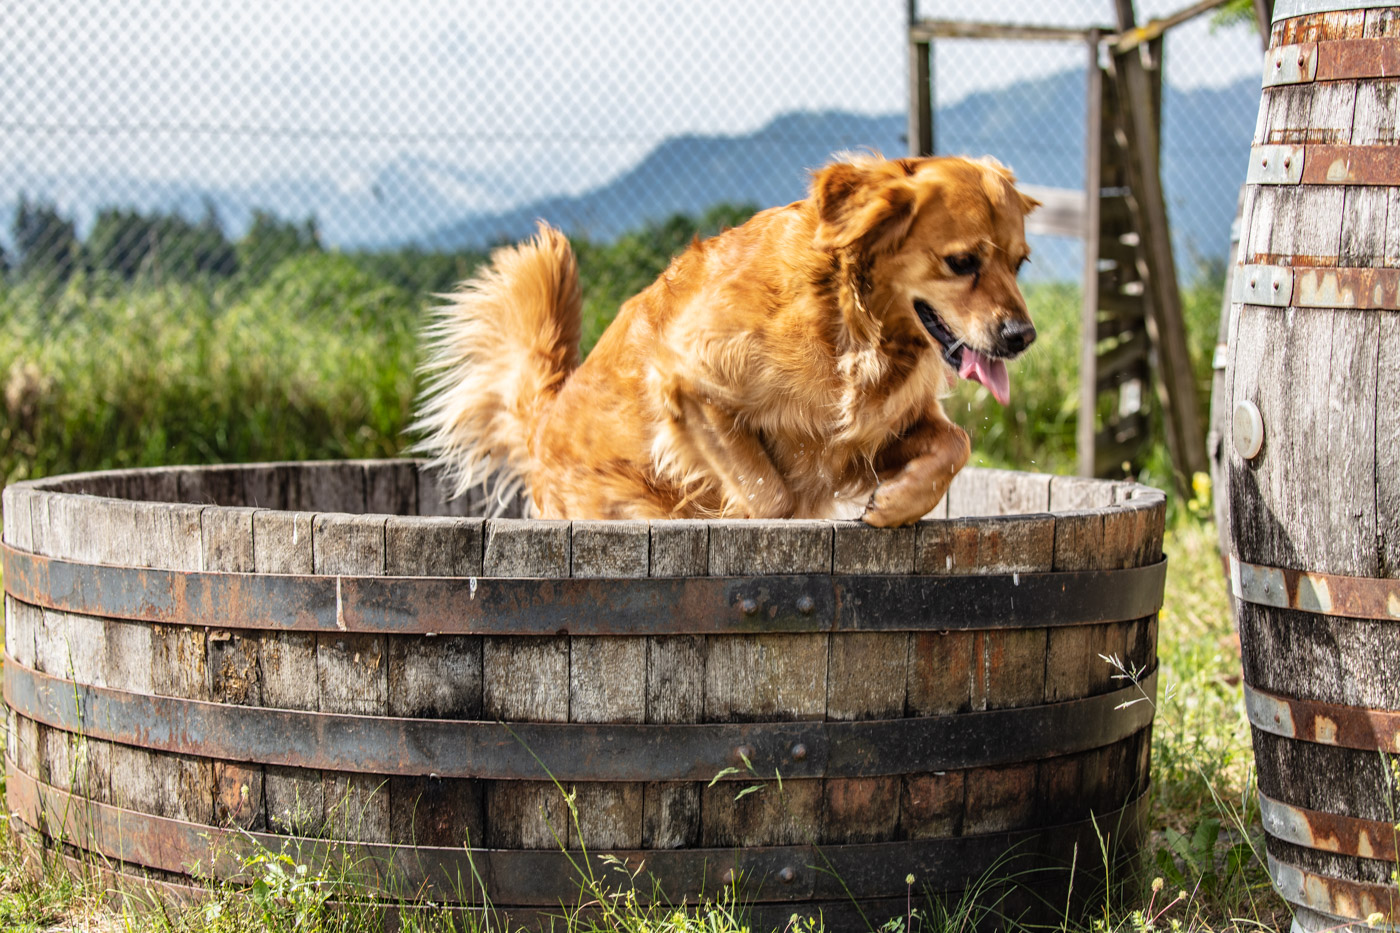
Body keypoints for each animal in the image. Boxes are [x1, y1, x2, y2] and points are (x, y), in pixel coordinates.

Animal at [414, 156, 1041, 526]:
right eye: (962, 262)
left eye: (1019, 263)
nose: (1022, 336)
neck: (846, 320)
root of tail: (544, 421)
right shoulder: (689, 382)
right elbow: (772, 496)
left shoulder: (868, 435)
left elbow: (956, 443)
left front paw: (893, 504)